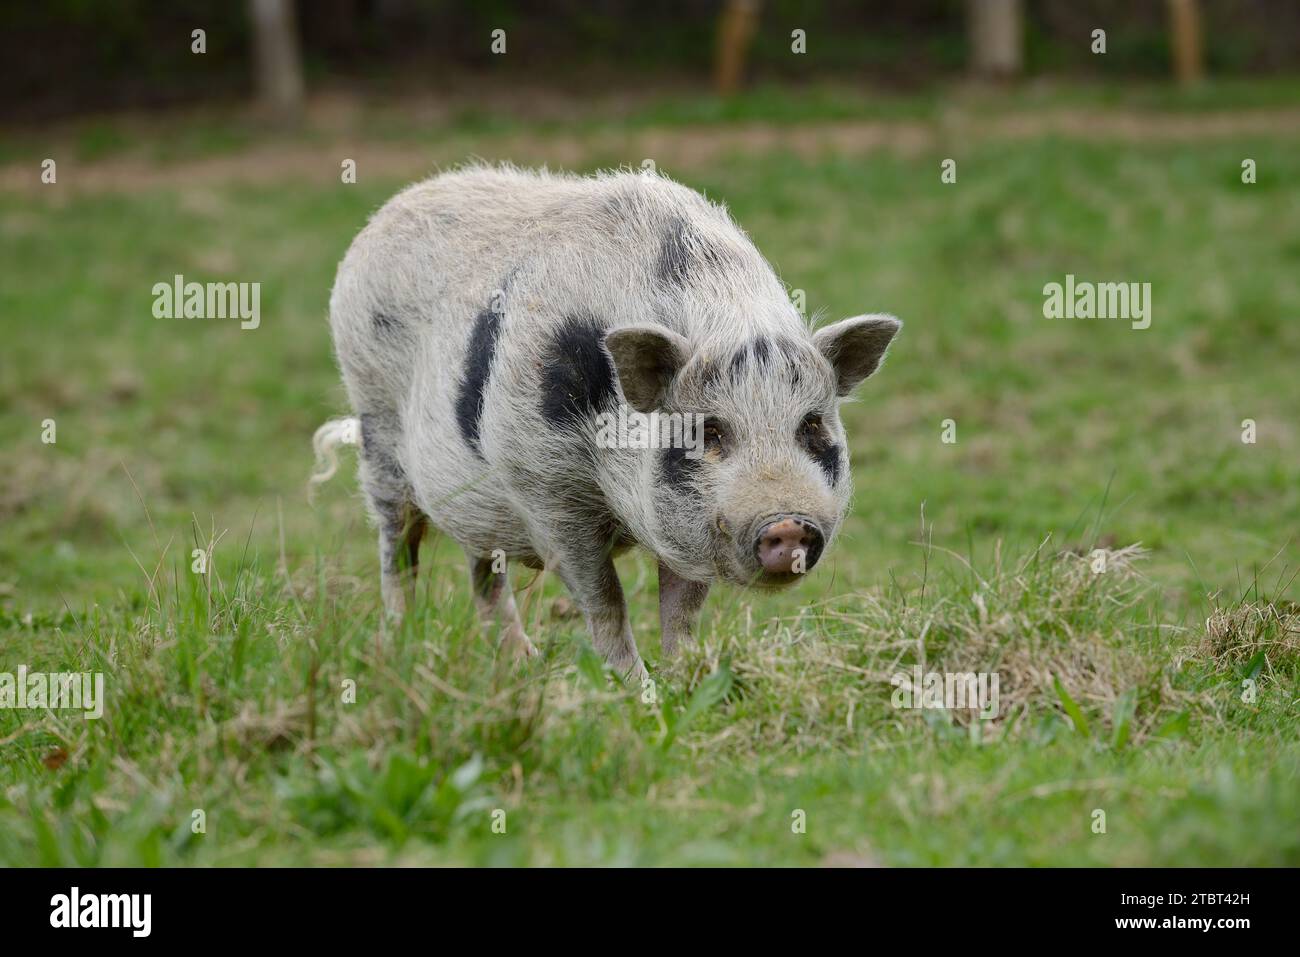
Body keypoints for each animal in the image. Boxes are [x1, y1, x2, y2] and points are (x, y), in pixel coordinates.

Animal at [314, 164, 904, 681]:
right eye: (708, 431)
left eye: (812, 425)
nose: (786, 523)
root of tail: (382, 217)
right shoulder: (547, 492)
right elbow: (605, 602)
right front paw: (637, 692)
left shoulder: (681, 525)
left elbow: (681, 610)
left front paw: (685, 682)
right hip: (376, 423)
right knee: (398, 546)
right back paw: (400, 645)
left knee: (481, 567)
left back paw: (521, 664)